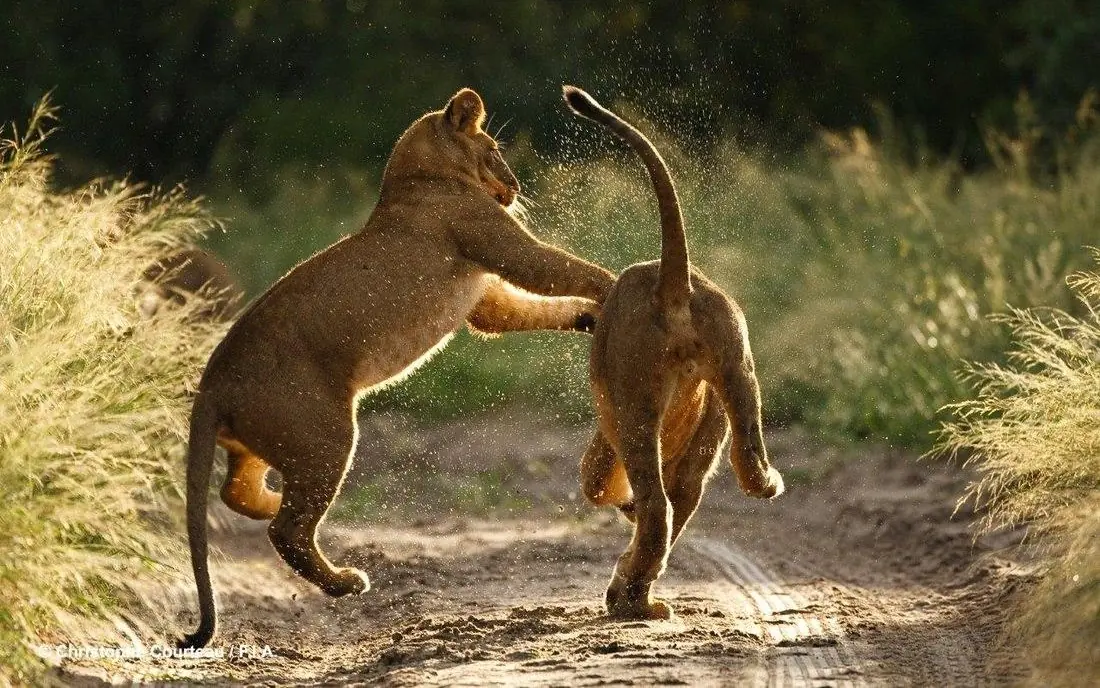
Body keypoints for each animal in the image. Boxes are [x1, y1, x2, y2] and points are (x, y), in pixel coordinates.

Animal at [180, 88, 615, 648]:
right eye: (495, 150)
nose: (517, 188)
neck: (415, 177)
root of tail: (213, 381)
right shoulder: (498, 243)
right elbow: (561, 268)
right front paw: (618, 288)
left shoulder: (485, 299)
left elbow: (525, 309)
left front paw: (591, 315)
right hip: (325, 435)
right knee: (289, 530)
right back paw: (343, 580)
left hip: (264, 442)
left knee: (235, 493)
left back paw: (271, 503)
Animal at [563, 86, 784, 620]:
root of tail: (673, 280)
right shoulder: (701, 444)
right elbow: (681, 498)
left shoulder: (609, 429)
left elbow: (597, 481)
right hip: (738, 372)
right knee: (741, 471)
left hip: (634, 404)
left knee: (656, 506)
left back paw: (630, 601)